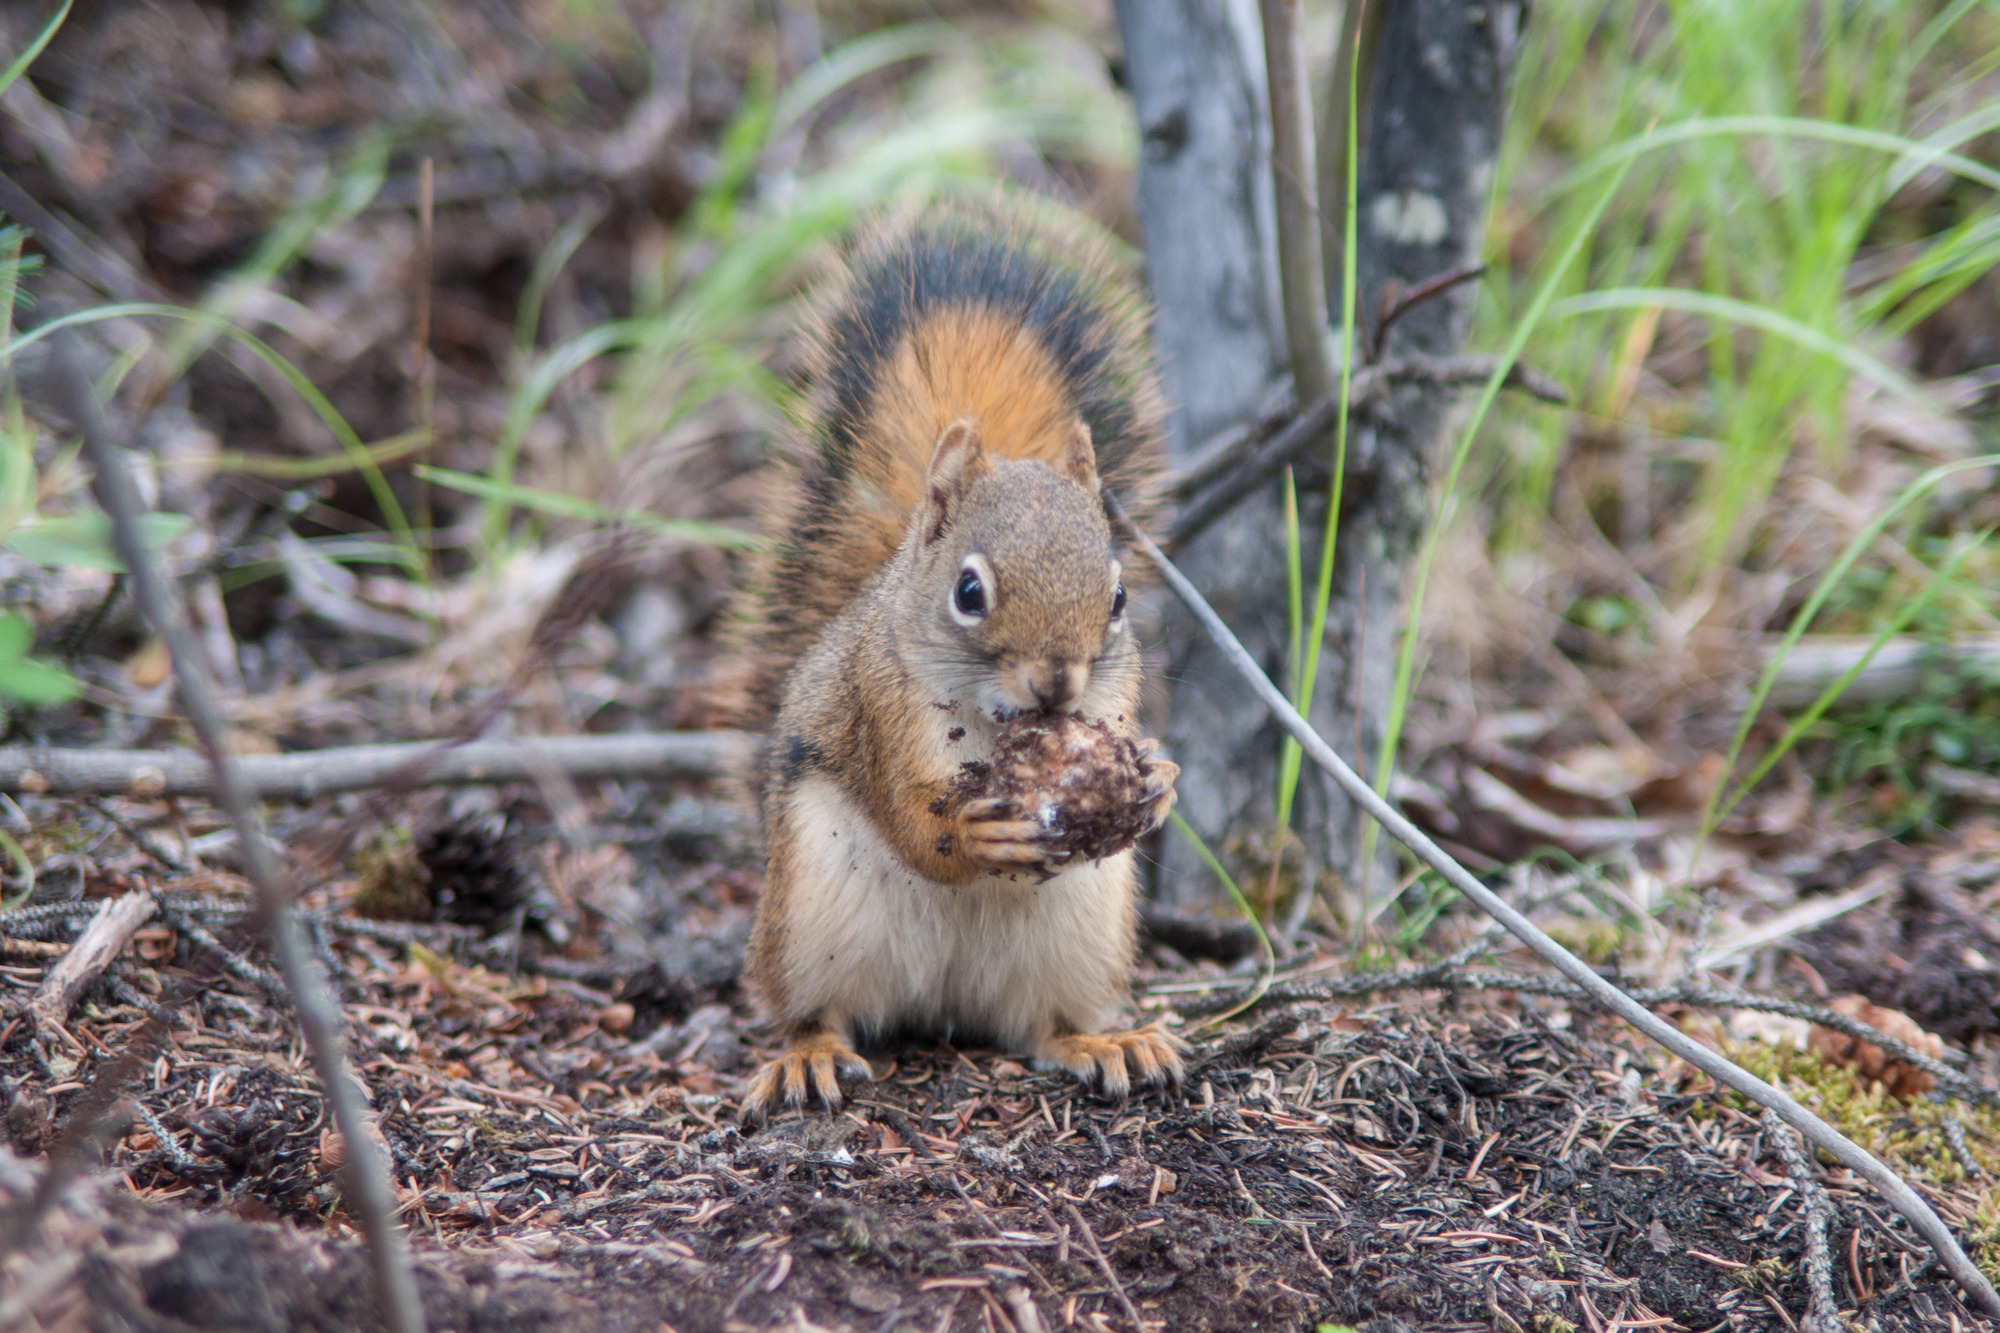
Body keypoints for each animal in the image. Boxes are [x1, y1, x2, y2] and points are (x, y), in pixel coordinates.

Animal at [727, 197, 1186, 1117]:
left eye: (1118, 596)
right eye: (969, 592)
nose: (1058, 679)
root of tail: (943, 1001)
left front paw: (1156, 781)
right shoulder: (881, 708)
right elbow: (913, 823)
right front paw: (976, 831)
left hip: (1082, 934)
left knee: (1044, 1024)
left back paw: (1107, 1040)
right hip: (807, 916)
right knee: (813, 1009)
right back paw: (808, 1056)